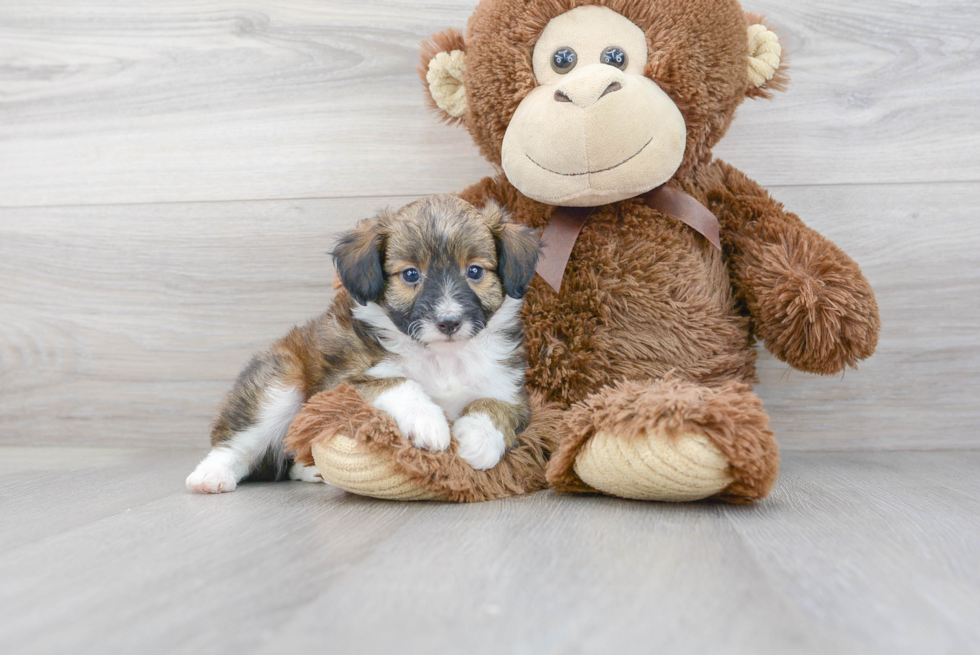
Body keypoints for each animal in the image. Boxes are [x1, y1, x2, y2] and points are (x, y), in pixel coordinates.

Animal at [187, 195, 540, 492]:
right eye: (411, 274)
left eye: (475, 271)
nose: (449, 322)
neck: (442, 357)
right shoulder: (340, 385)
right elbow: (397, 382)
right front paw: (428, 421)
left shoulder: (510, 390)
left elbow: (494, 406)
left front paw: (479, 441)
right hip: (279, 384)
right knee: (237, 443)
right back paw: (211, 475)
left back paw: (312, 471)